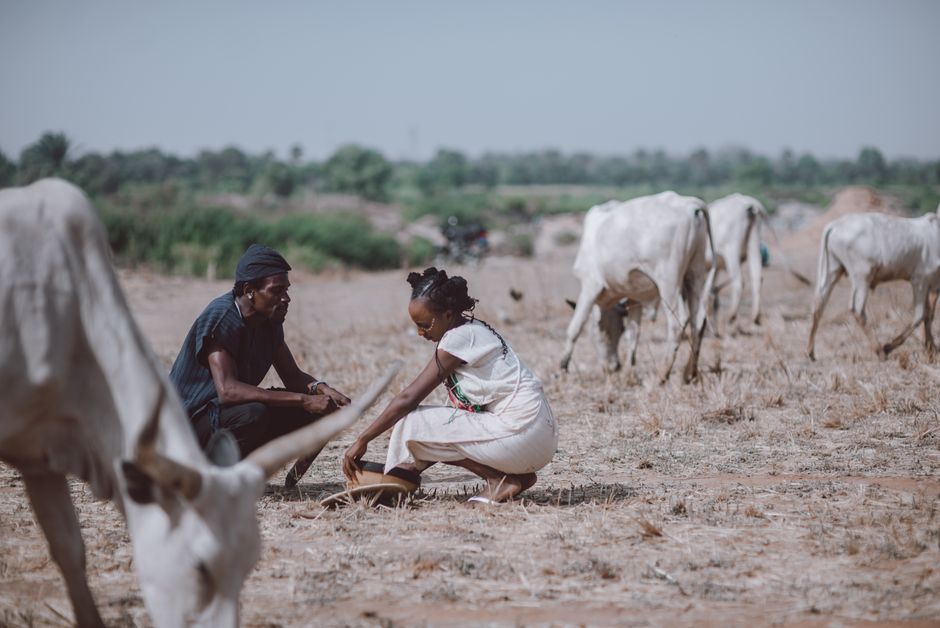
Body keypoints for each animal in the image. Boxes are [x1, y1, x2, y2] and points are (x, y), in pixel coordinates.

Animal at [0, 178, 397, 627]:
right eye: (199, 567)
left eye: (250, 562)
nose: (286, 302)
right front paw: (318, 405)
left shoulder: (39, 454)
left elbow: (70, 550)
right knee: (257, 409)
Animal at [560, 192, 716, 383]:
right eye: (617, 329)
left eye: (604, 331)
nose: (614, 366)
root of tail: (689, 204)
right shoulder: (635, 297)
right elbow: (634, 334)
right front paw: (629, 374)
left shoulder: (590, 286)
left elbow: (574, 328)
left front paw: (562, 367)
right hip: (695, 274)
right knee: (698, 321)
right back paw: (689, 373)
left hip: (668, 282)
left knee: (677, 323)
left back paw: (662, 375)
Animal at [706, 193, 810, 331]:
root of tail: (750, 203)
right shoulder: (714, 267)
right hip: (753, 241)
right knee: (757, 276)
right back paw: (755, 317)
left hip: (731, 249)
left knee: (739, 280)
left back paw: (731, 316)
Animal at [807, 207, 940, 360]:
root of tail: (835, 225)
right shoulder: (920, 280)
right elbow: (920, 315)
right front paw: (889, 346)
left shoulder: (933, 285)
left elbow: (929, 316)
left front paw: (932, 349)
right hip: (862, 276)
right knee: (857, 309)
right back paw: (880, 350)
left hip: (832, 270)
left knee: (819, 305)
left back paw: (810, 352)